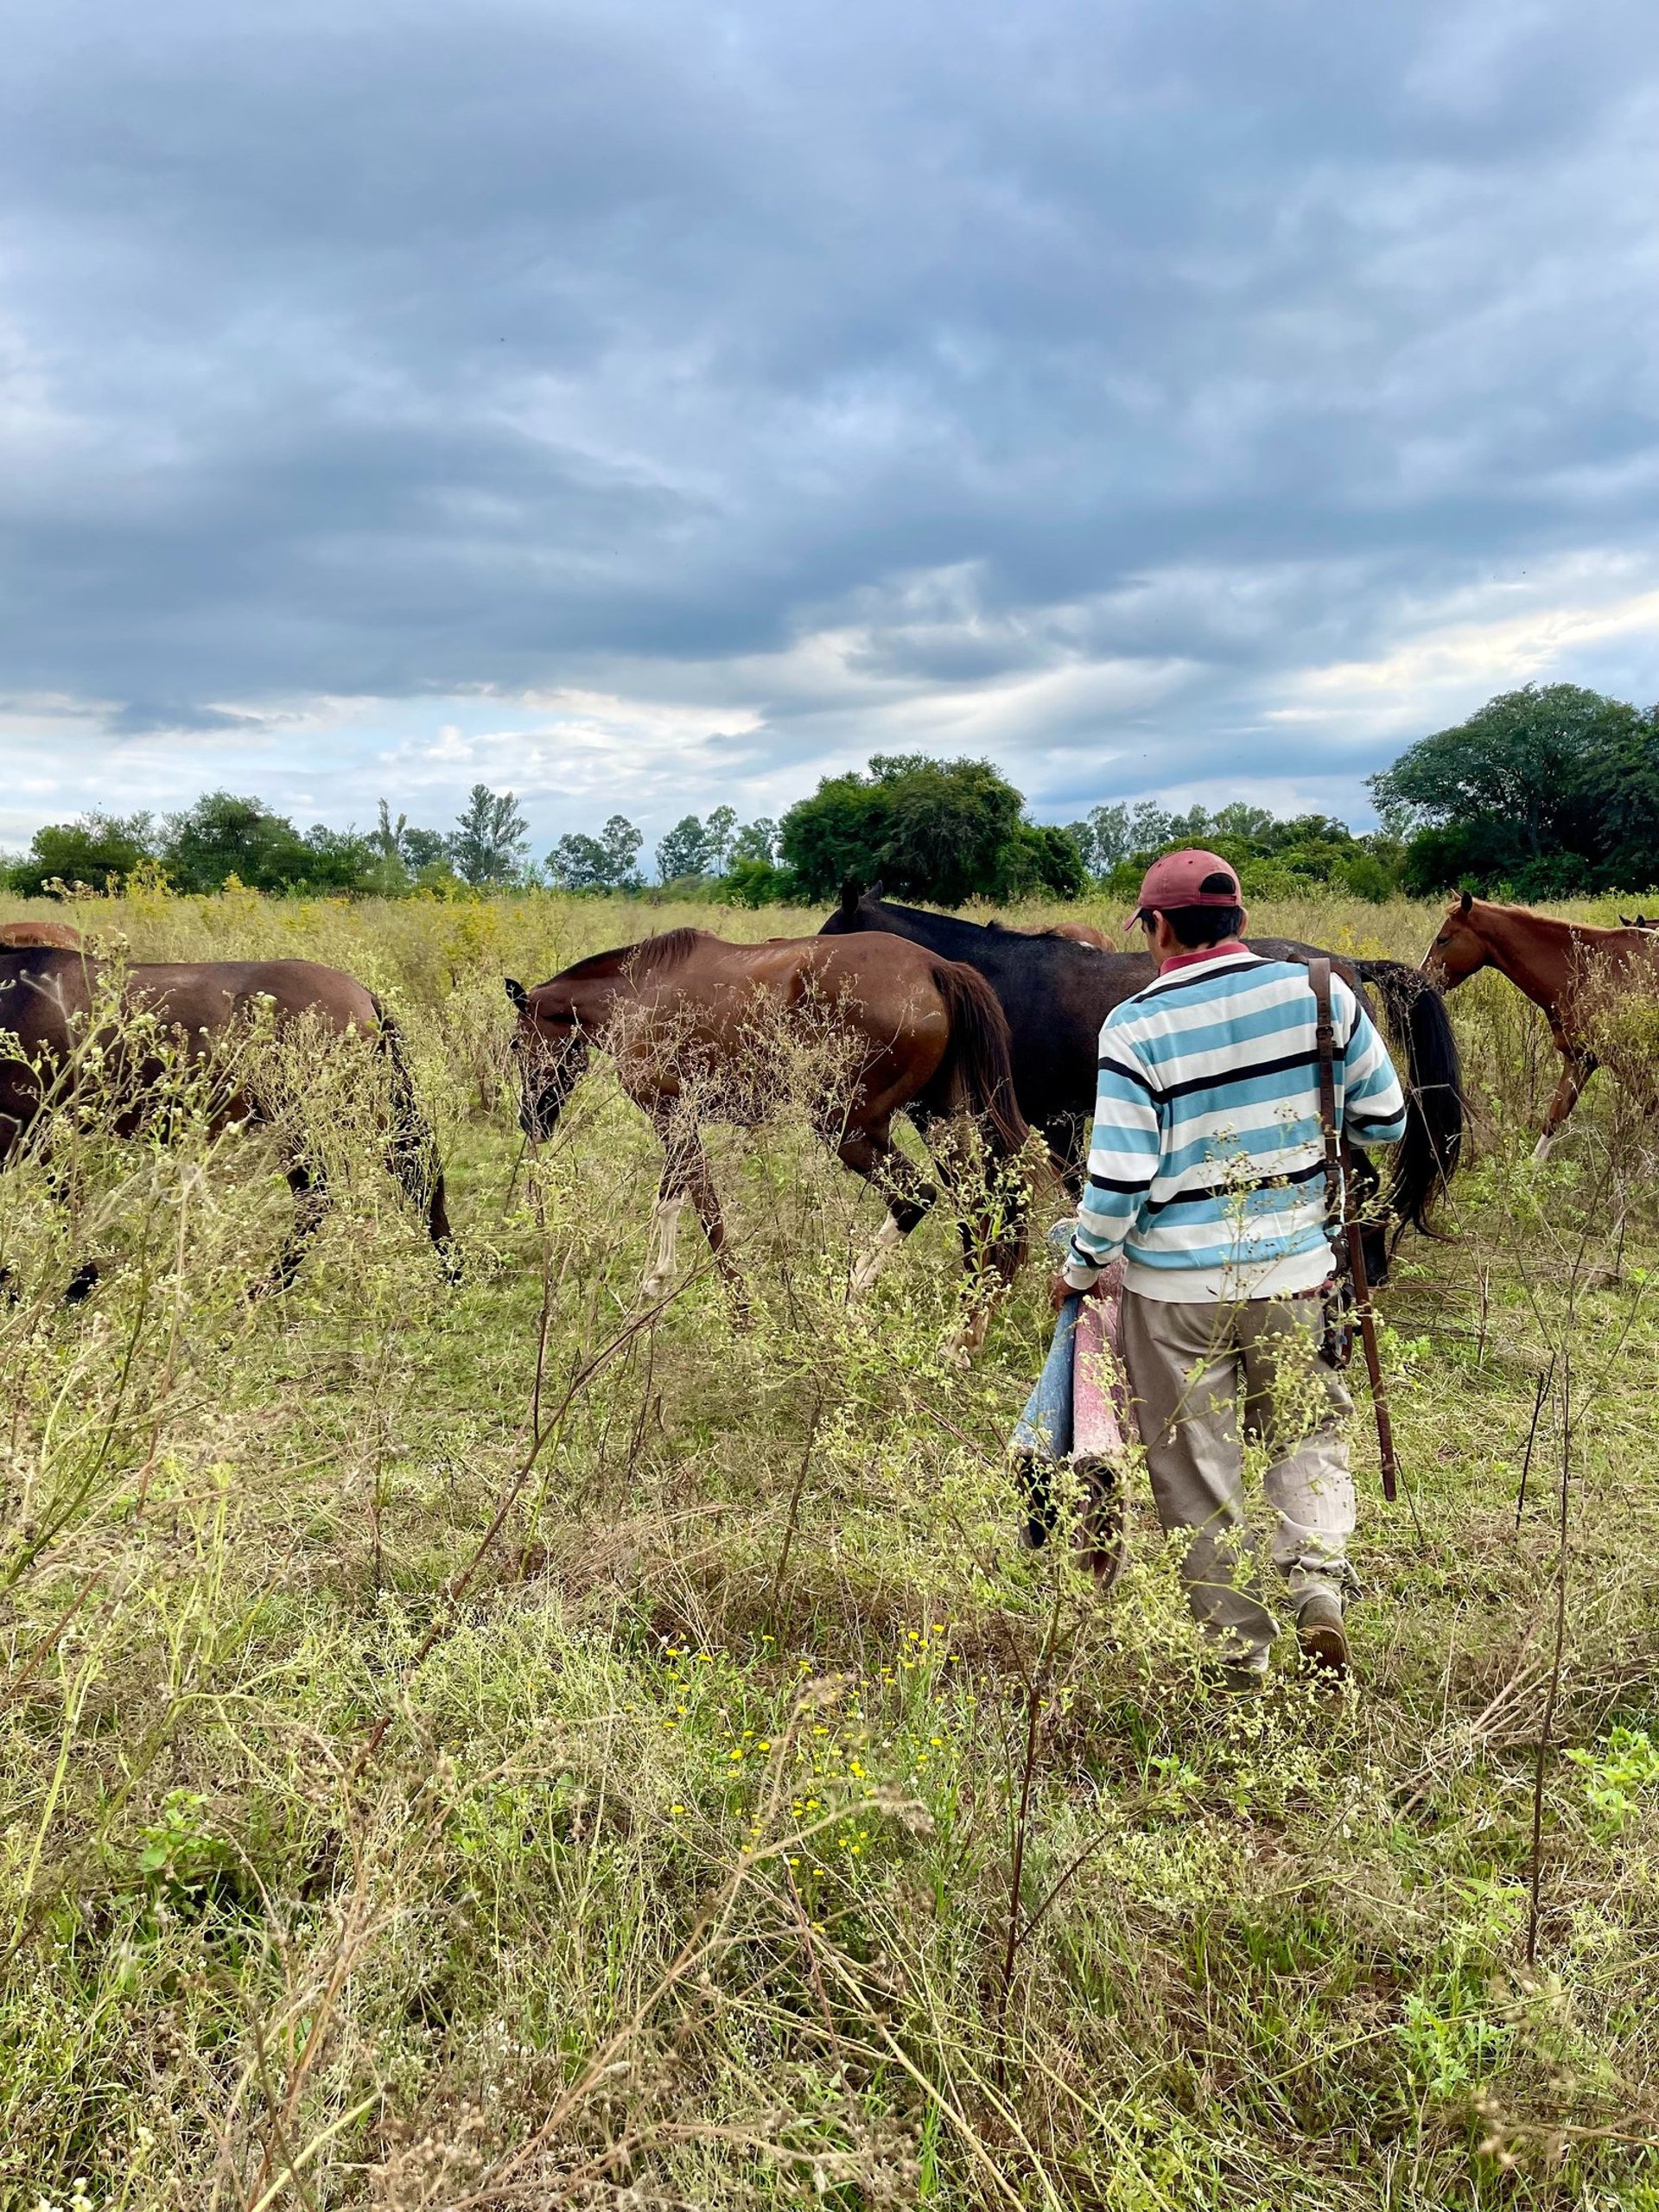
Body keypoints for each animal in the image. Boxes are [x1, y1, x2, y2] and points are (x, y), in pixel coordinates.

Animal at [0, 938, 455, 1292]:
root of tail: (362, 993)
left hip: (306, 1119)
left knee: (323, 1197)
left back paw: (268, 1286)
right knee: (413, 1172)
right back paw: (453, 1269)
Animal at [506, 925, 1035, 1318]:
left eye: (515, 1044)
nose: (530, 1122)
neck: (636, 992)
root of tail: (935, 967)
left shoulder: (672, 1115)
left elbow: (705, 1210)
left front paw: (739, 1305)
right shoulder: (679, 1119)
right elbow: (671, 1201)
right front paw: (657, 1278)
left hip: (847, 1128)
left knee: (915, 1197)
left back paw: (854, 1290)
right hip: (937, 1125)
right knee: (979, 1210)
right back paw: (963, 1328)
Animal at [1424, 889, 1659, 1159]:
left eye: (1443, 939)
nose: (1421, 978)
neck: (1587, 970)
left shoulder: (1627, 1060)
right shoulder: (1580, 1059)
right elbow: (1553, 1120)